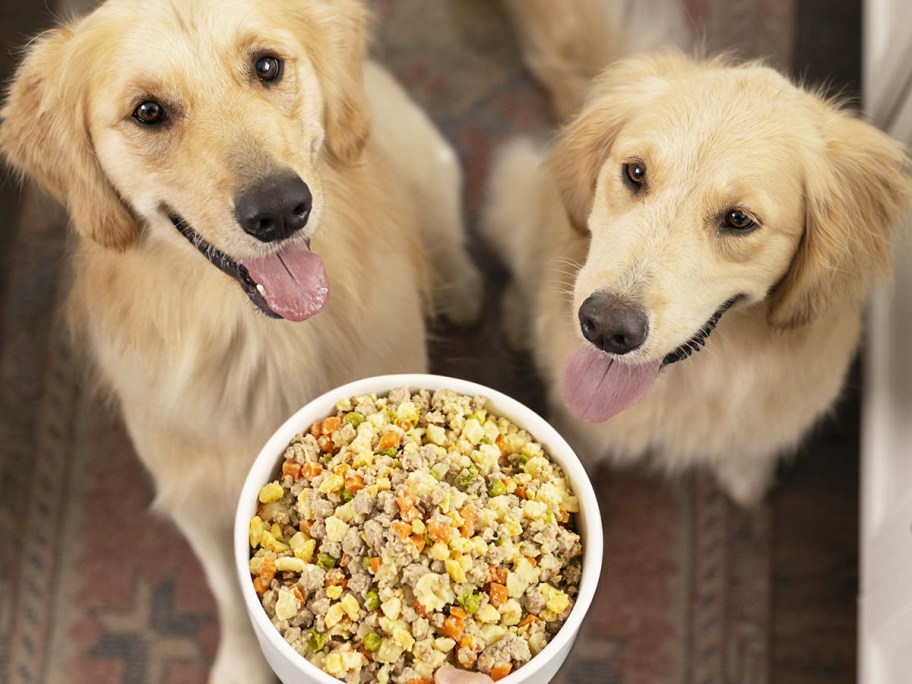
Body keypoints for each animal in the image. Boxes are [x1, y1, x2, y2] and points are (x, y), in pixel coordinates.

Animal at [0, 0, 480, 680]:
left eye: (267, 66)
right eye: (148, 111)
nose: (280, 209)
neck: (263, 340)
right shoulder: (197, 494)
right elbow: (229, 591)